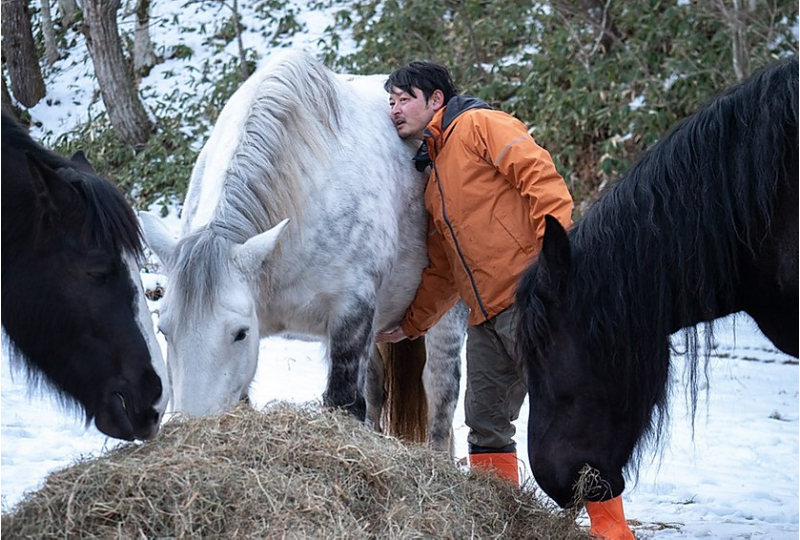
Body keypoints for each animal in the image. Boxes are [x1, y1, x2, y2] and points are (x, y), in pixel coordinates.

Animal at [140, 49, 468, 451]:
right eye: (165, 330)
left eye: (239, 333)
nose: (194, 430)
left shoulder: (351, 315)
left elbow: (345, 401)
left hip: (444, 316)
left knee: (440, 395)